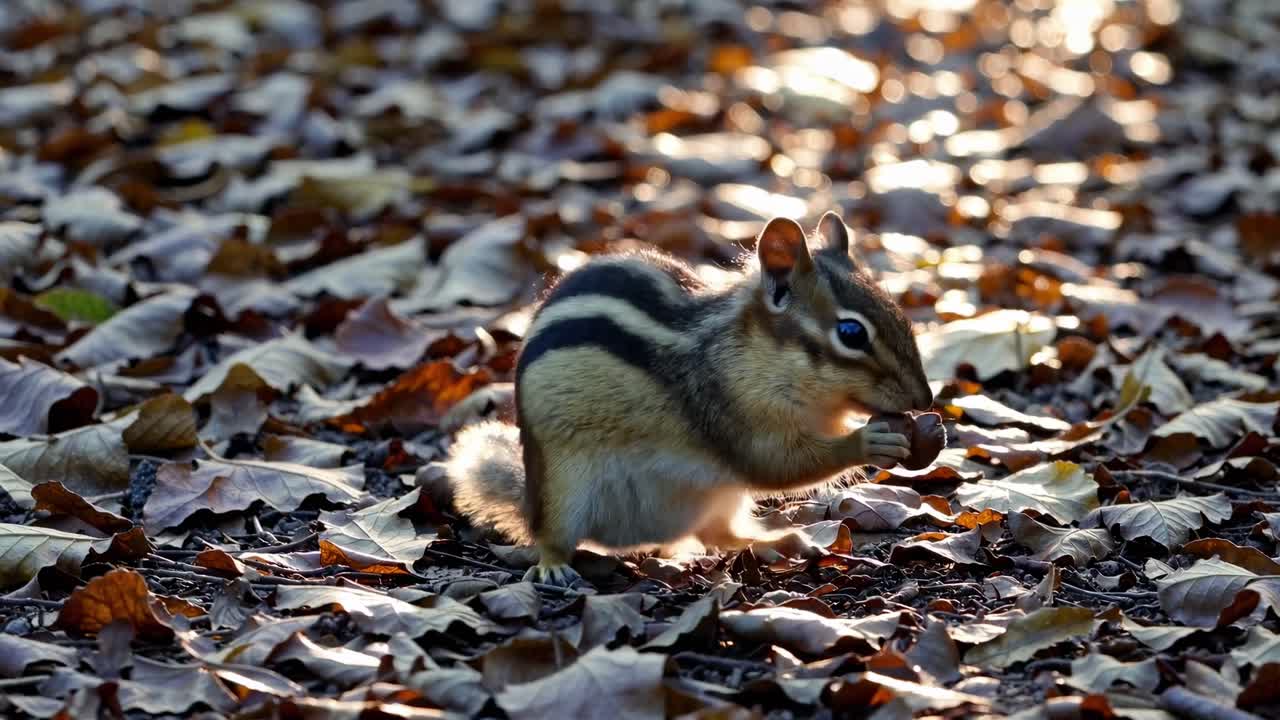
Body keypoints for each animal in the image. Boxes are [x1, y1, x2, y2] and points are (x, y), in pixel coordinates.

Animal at [442, 212, 933, 586]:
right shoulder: (729, 412)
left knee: (722, 534)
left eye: (899, 312)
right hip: (562, 488)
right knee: (547, 533)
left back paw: (778, 541)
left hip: (719, 496)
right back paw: (552, 566)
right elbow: (776, 465)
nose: (926, 398)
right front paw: (869, 441)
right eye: (851, 333)